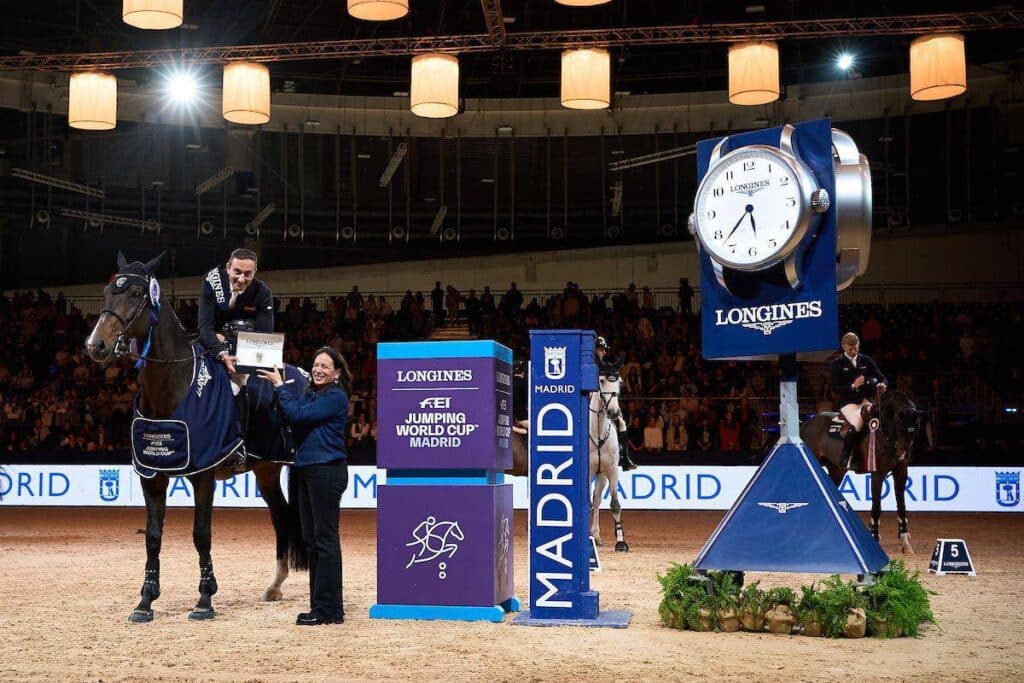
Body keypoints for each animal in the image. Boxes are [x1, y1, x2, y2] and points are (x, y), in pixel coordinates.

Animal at [84, 252, 303, 626]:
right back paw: (275, 585)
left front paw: (204, 599)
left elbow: (201, 534)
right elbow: (153, 537)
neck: (171, 388)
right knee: (281, 515)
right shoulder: (152, 476)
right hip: (266, 470)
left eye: (138, 293)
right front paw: (145, 601)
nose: (96, 345)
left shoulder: (203, 475)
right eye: (107, 291)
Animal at [798, 389, 929, 557]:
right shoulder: (877, 474)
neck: (883, 432)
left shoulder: (901, 472)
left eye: (915, 428)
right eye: (900, 426)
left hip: (836, 471)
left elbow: (901, 506)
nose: (902, 455)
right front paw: (875, 537)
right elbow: (876, 507)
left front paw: (905, 543)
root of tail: (807, 423)